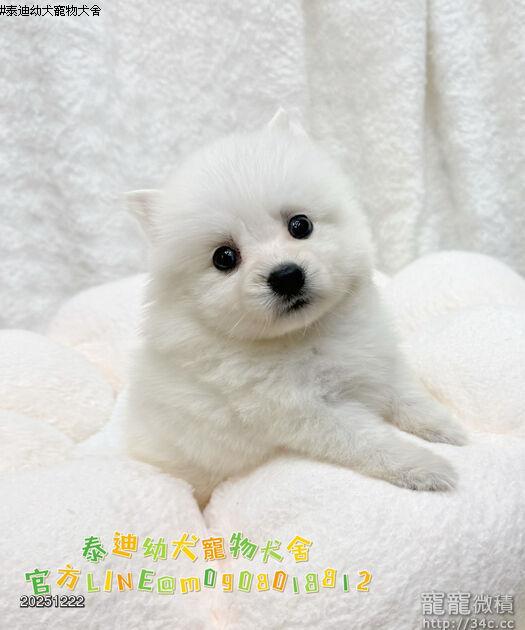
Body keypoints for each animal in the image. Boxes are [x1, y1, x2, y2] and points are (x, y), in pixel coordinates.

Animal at [123, 109, 467, 507]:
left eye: (300, 225)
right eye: (224, 258)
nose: (286, 276)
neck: (308, 334)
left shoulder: (378, 361)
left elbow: (408, 396)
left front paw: (446, 428)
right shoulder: (310, 414)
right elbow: (371, 442)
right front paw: (425, 467)